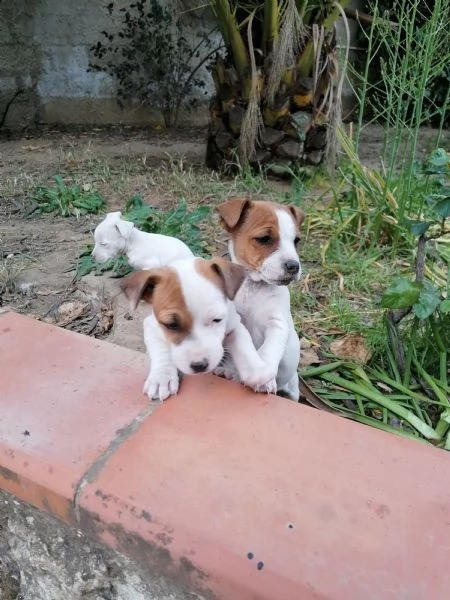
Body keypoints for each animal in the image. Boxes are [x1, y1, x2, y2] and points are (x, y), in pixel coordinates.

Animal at [118, 255, 278, 400]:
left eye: (217, 319)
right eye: (171, 325)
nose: (199, 365)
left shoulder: (234, 324)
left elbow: (244, 346)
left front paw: (259, 373)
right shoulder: (151, 326)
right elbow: (162, 351)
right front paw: (162, 377)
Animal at [215, 199, 306, 400]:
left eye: (296, 241)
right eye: (264, 238)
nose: (294, 266)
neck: (253, 285)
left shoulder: (277, 324)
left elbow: (267, 350)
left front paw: (264, 379)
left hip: (292, 389)